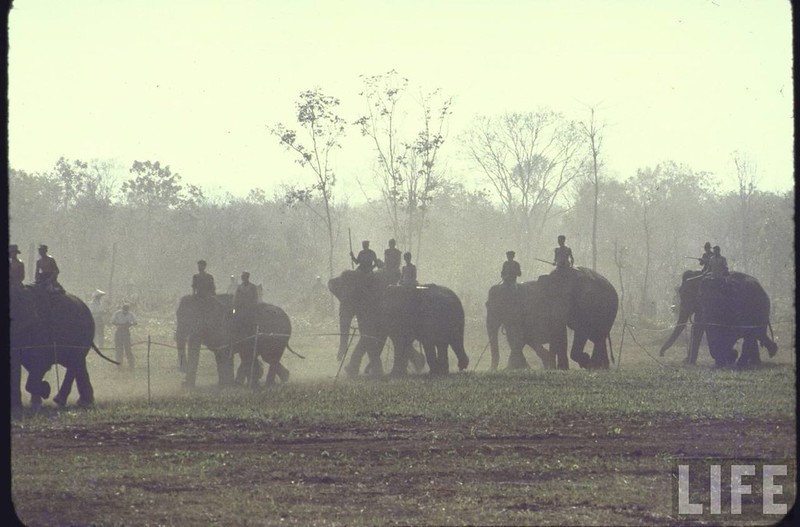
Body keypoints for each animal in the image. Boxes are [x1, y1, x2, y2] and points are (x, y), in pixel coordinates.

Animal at [482, 268, 620, 372]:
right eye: (486, 305)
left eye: (498, 306)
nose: (491, 370)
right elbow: (520, 338)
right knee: (598, 337)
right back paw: (601, 367)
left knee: (595, 336)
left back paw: (594, 365)